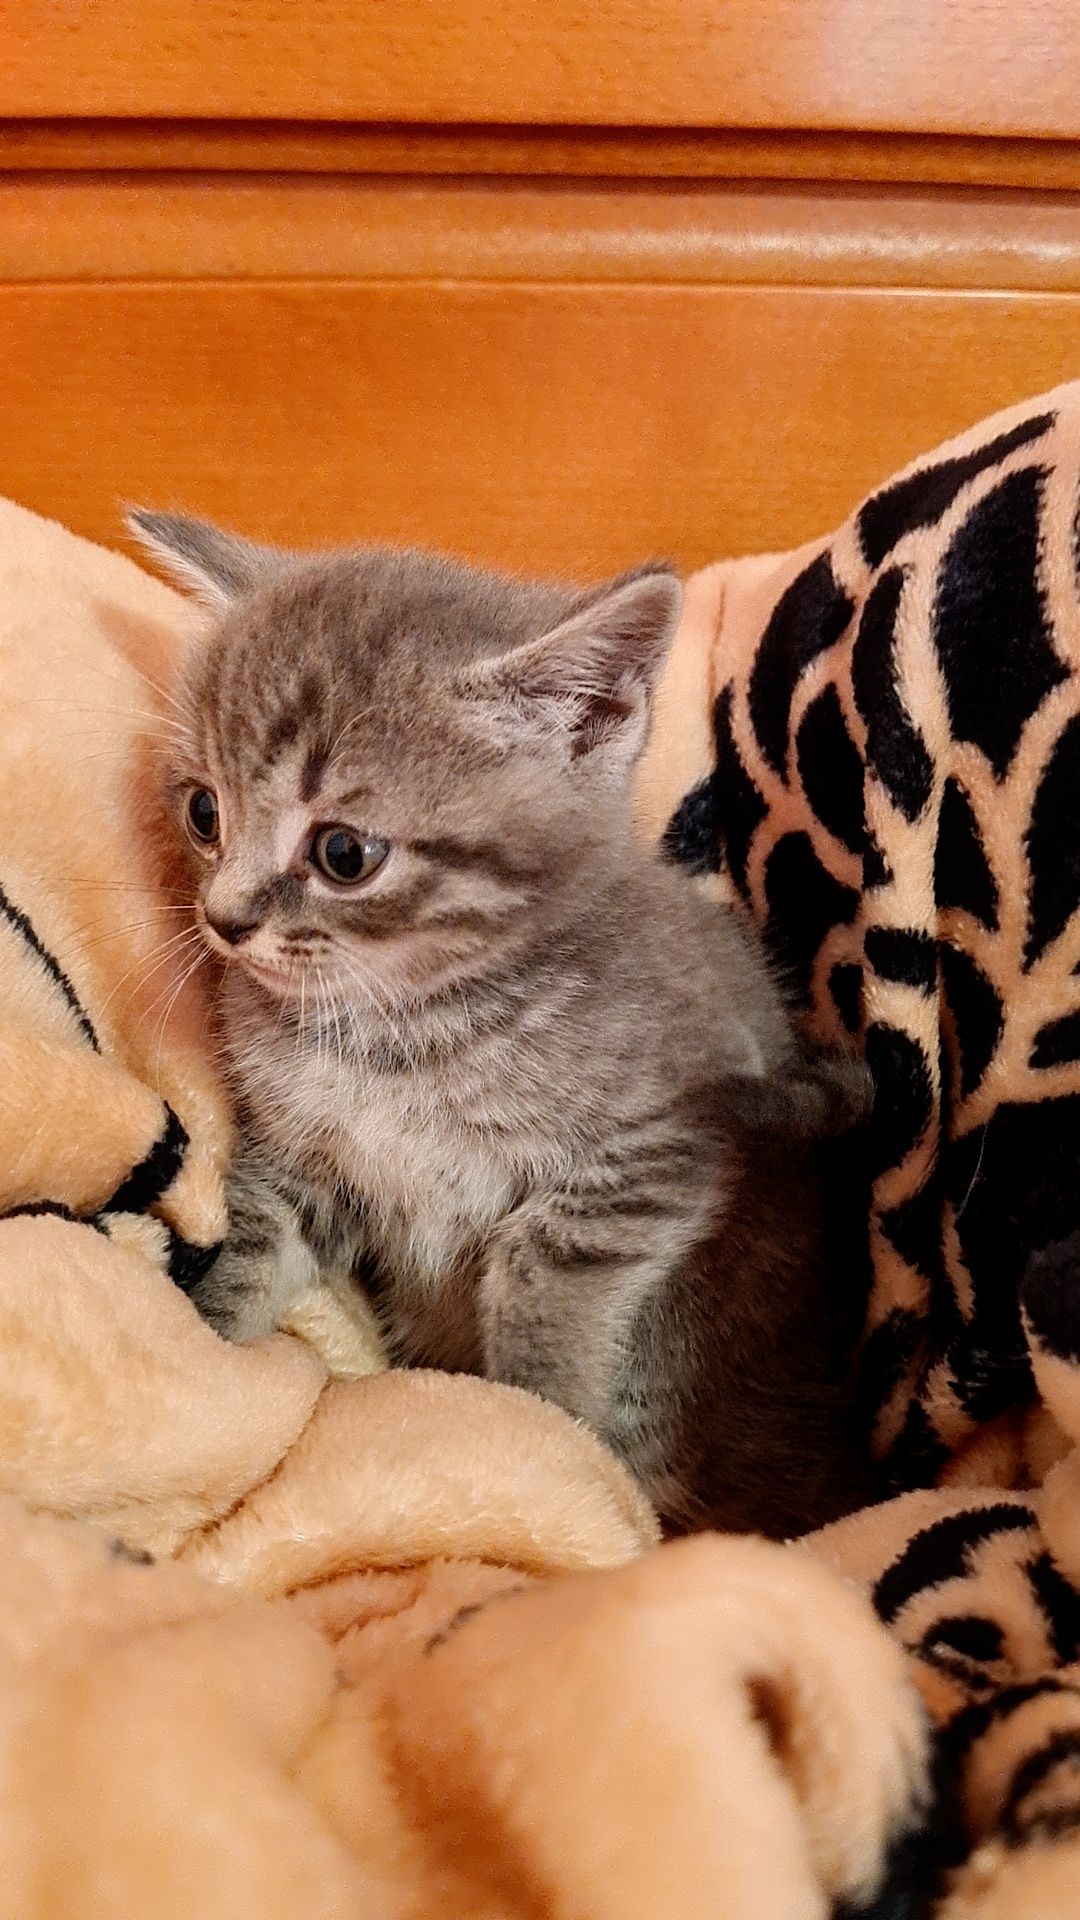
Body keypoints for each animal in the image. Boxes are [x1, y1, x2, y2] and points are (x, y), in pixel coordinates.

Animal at [132, 510, 864, 1528]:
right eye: (205, 811)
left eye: (344, 854)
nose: (224, 919)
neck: (404, 1033)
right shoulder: (296, 1163)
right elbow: (249, 1245)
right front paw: (210, 1356)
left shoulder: (644, 1166)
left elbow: (545, 1300)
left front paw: (550, 1443)